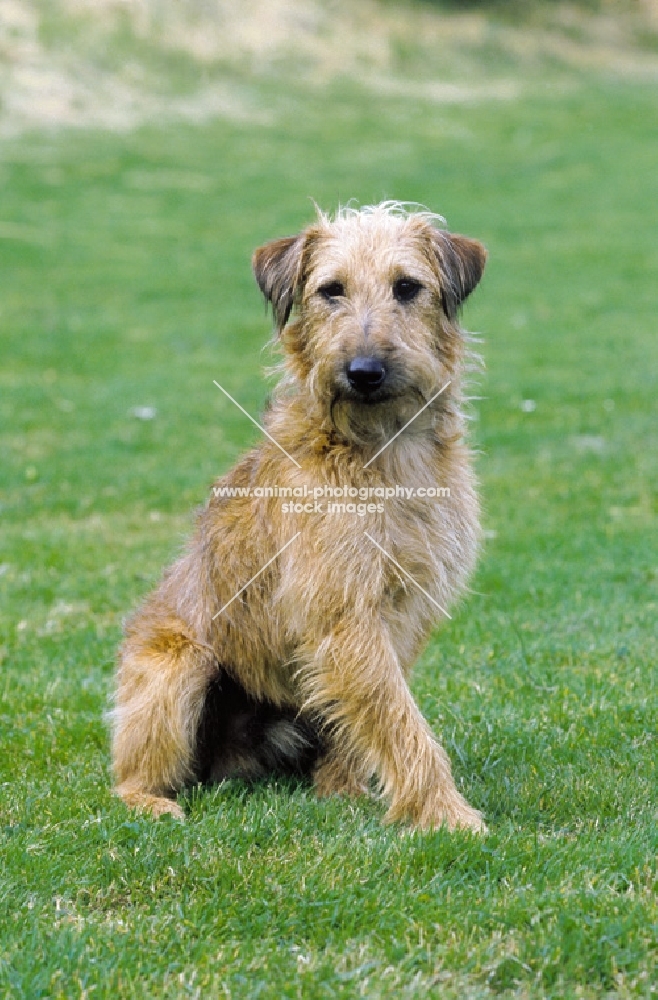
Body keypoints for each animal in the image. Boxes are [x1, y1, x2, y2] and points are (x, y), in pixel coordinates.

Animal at [109, 199, 486, 832]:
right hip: (175, 664)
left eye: (407, 288)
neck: (381, 449)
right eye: (331, 290)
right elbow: (401, 722)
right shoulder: (344, 612)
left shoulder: (399, 613)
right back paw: (153, 801)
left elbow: (375, 715)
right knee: (129, 778)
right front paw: (446, 815)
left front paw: (343, 791)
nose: (364, 371)